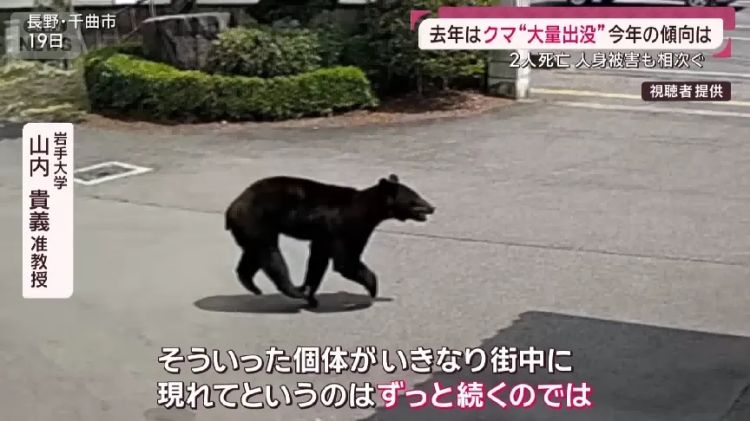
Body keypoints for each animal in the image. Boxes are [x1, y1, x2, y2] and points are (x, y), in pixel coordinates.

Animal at [224, 174, 435, 308]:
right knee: (270, 255)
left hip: (252, 229)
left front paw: (311, 293)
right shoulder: (346, 227)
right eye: (415, 199)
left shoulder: (324, 236)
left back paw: (251, 284)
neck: (367, 210)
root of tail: (231, 208)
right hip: (256, 220)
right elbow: (345, 261)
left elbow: (318, 261)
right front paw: (373, 287)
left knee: (253, 253)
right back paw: (293, 290)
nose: (432, 207)